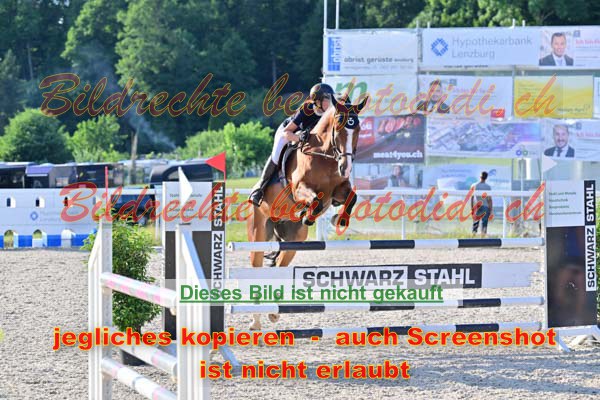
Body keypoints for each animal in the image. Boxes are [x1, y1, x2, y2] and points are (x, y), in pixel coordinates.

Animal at [245, 95, 368, 330]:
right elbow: (316, 201)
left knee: (280, 265)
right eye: (338, 127)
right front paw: (308, 215)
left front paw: (339, 220)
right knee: (255, 268)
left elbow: (351, 197)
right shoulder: (299, 188)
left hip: (293, 241)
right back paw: (255, 321)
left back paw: (273, 313)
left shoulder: (338, 190)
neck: (325, 156)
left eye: (357, 129)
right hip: (259, 234)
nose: (345, 167)